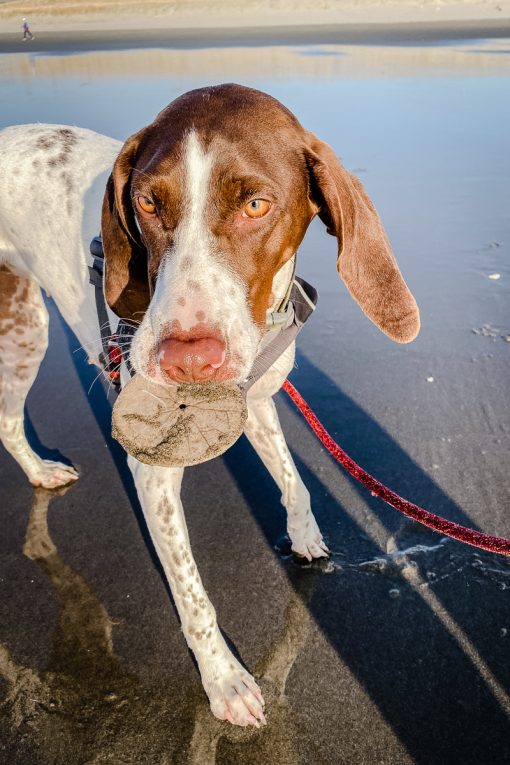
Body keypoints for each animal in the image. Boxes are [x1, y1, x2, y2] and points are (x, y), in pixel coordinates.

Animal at [0, 85, 418, 728]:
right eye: (147, 202)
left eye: (256, 205)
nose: (186, 360)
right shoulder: (152, 472)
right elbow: (194, 599)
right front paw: (224, 680)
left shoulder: (259, 401)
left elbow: (294, 481)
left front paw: (304, 536)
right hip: (24, 330)